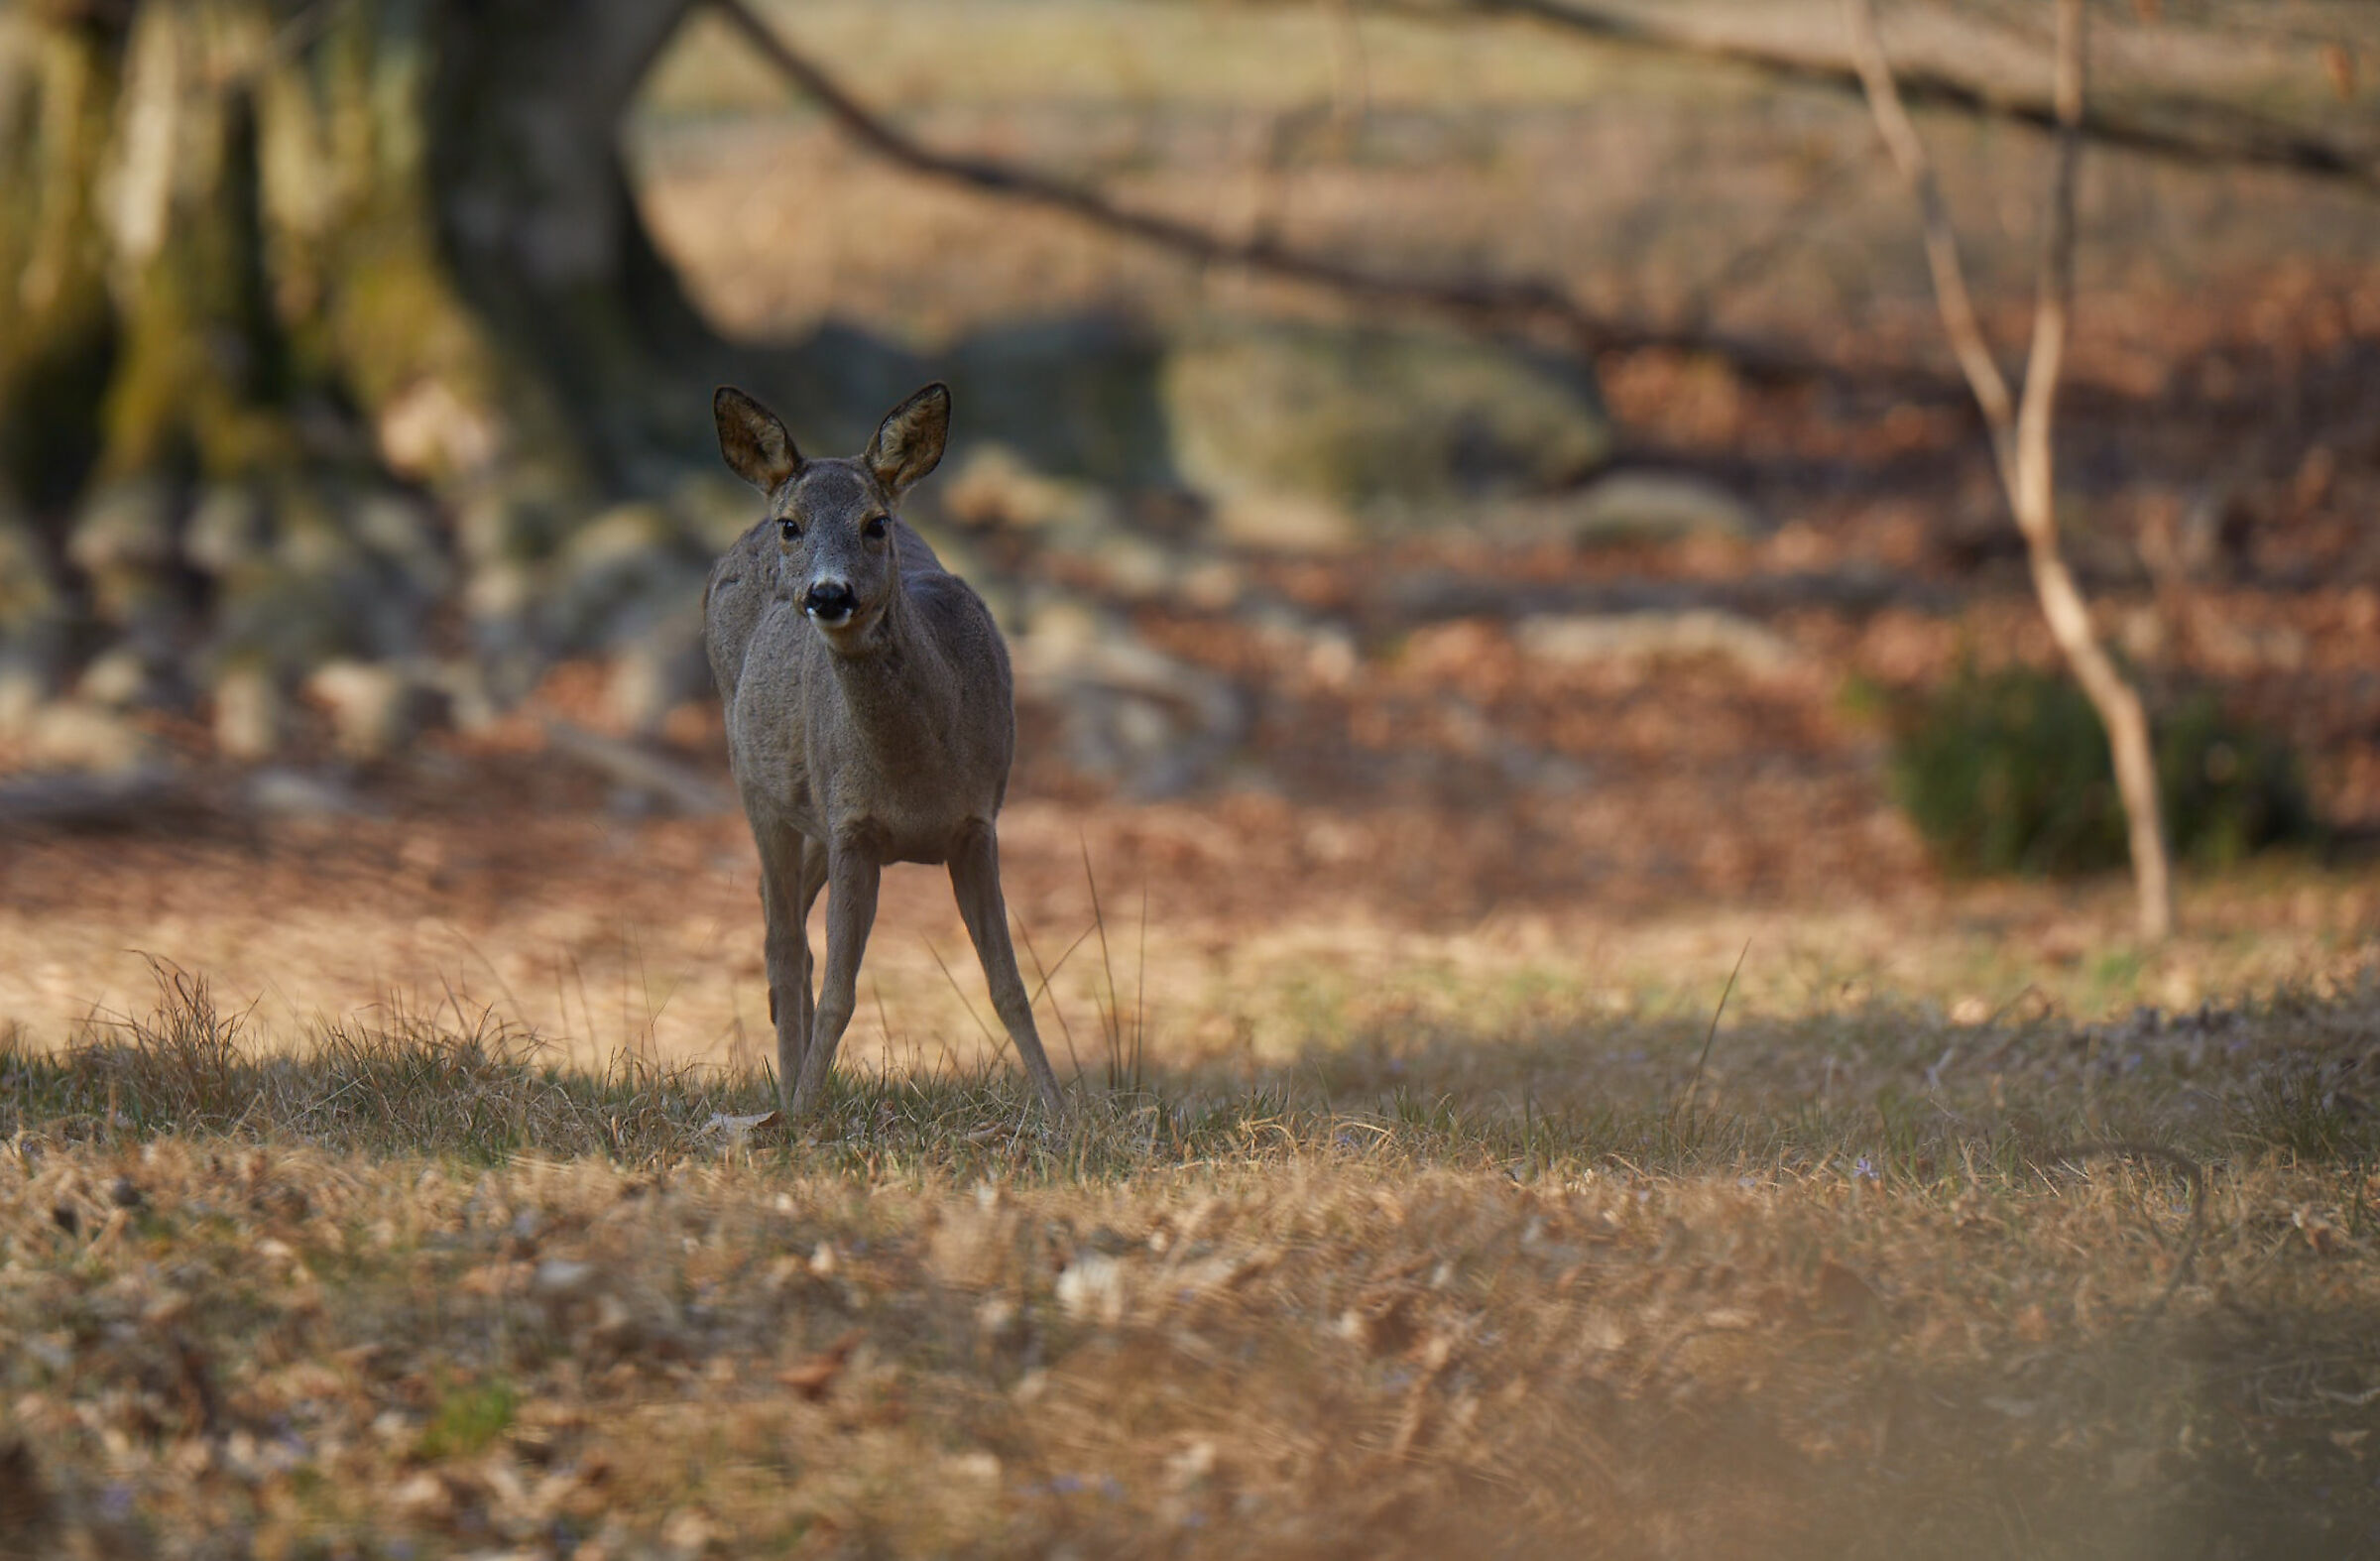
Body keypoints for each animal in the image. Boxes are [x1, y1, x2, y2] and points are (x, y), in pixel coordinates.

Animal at [704, 382, 1067, 1121]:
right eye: (793, 527)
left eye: (876, 524)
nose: (828, 593)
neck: (915, 774)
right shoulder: (853, 828)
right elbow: (843, 994)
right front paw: (805, 1117)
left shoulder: (977, 823)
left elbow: (1011, 986)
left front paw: (1061, 1114)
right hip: (754, 780)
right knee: (784, 938)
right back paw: (786, 1095)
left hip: (808, 812)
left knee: (782, 916)